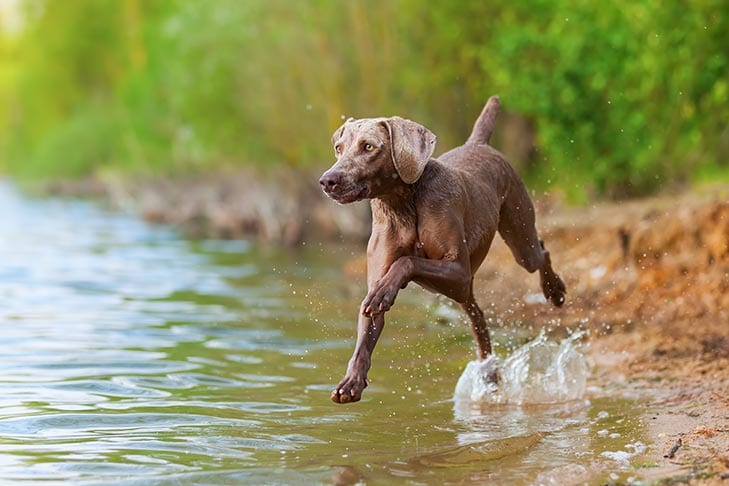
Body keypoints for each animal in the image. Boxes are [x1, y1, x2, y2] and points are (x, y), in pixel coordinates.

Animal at [318, 97, 564, 404]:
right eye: (339, 148)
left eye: (369, 147)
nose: (327, 180)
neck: (403, 204)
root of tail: (478, 143)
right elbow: (368, 323)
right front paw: (351, 382)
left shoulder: (457, 269)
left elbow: (407, 262)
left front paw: (386, 291)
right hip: (464, 293)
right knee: (478, 319)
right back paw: (489, 375)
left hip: (518, 241)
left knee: (540, 252)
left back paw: (555, 290)